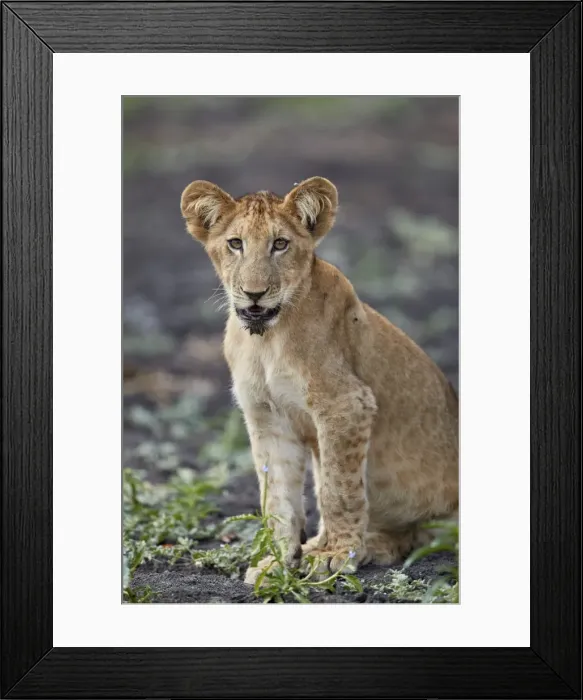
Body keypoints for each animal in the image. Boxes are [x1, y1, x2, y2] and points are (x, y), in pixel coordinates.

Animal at [180, 176, 458, 584]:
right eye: (236, 243)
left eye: (280, 244)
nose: (254, 294)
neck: (267, 339)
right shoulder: (266, 416)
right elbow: (276, 494)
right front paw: (276, 562)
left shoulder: (346, 403)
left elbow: (337, 489)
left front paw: (336, 555)